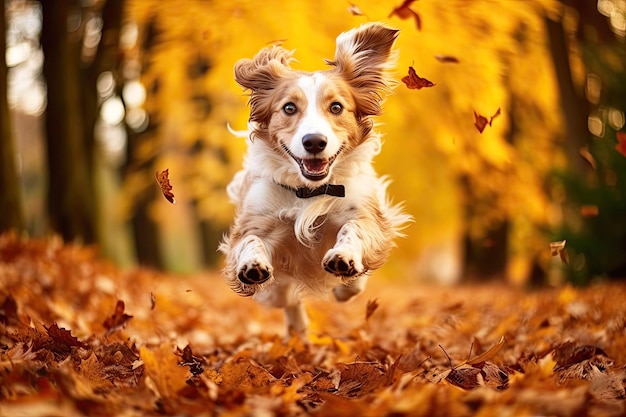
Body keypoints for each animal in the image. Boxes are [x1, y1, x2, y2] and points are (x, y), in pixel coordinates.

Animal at [219, 23, 410, 334]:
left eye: (336, 107)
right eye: (288, 108)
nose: (314, 142)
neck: (310, 191)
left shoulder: (365, 213)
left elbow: (354, 232)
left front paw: (344, 261)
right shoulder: (257, 219)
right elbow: (251, 241)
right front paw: (252, 264)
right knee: (283, 296)